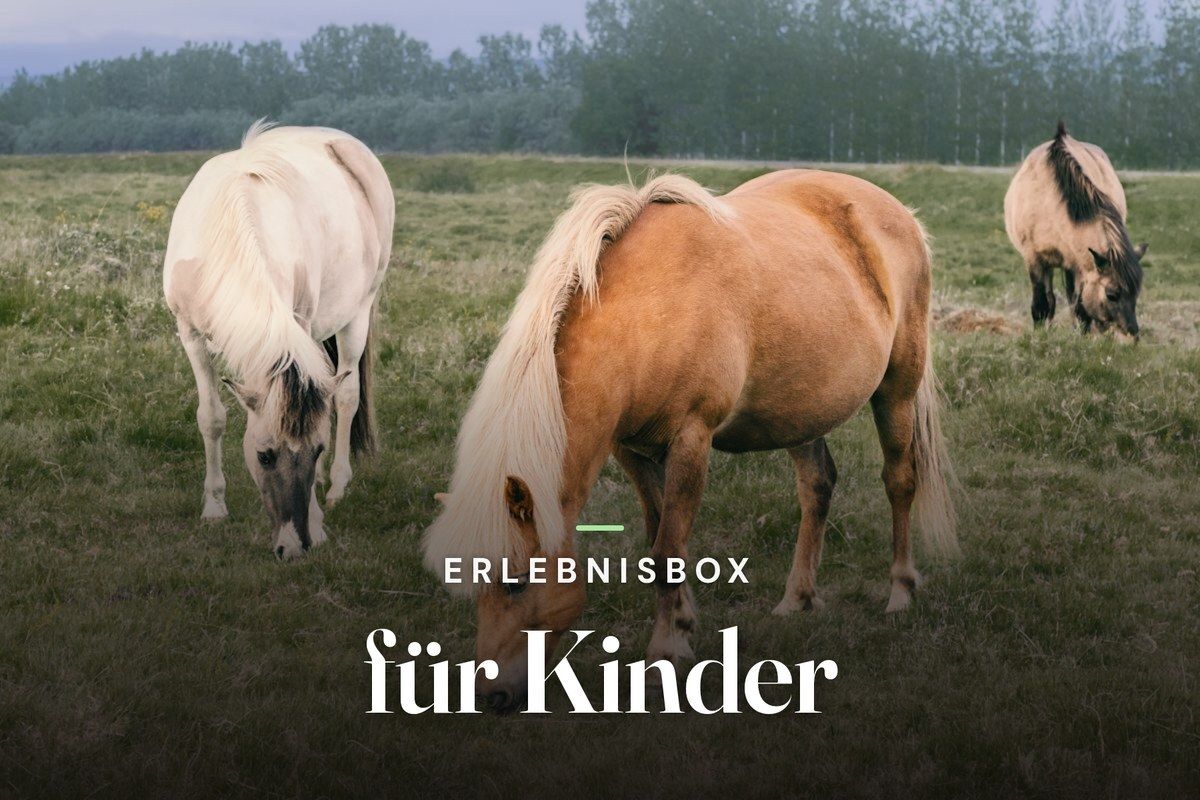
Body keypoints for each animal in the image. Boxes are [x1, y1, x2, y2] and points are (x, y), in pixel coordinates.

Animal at [164, 123, 394, 559]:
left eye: (315, 450)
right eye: (264, 456)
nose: (294, 546)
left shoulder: (297, 326)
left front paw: (317, 519)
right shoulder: (190, 334)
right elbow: (211, 417)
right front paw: (214, 506)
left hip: (358, 310)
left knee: (346, 396)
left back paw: (337, 484)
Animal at [423, 169, 958, 712]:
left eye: (516, 582)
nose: (491, 696)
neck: (644, 310)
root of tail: (897, 212)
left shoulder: (690, 439)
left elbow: (667, 552)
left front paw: (663, 653)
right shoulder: (632, 449)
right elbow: (660, 541)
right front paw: (682, 626)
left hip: (897, 388)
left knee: (900, 481)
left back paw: (900, 591)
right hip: (802, 408)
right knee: (817, 487)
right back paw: (798, 598)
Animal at [1004, 122, 1146, 338]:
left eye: (1136, 293)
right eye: (1111, 294)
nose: (1132, 334)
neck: (1050, 203)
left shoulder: (1079, 264)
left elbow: (1080, 309)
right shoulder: (1034, 259)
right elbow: (1041, 306)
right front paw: (1040, 335)